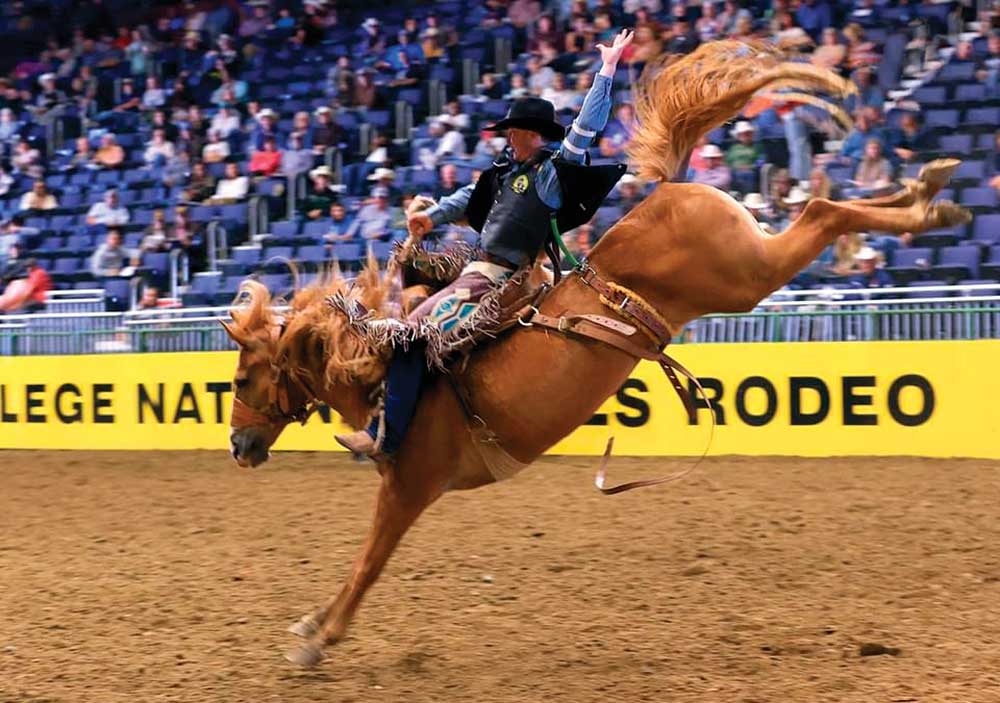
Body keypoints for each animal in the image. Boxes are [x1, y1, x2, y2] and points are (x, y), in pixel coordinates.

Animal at [221, 42, 970, 667]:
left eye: (244, 375)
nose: (238, 445)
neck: (376, 367)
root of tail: (668, 190)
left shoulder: (409, 485)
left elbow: (368, 562)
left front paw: (315, 636)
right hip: (749, 266)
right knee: (824, 207)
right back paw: (927, 191)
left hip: (745, 274)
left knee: (819, 209)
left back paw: (929, 205)